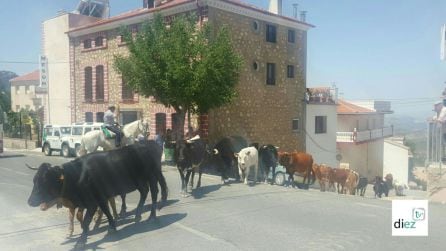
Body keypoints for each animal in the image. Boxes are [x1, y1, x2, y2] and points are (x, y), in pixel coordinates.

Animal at [27, 143, 167, 249]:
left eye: (45, 180)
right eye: (34, 180)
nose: (30, 201)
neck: (77, 176)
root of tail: (150, 144)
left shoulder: (92, 203)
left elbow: (87, 221)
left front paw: (81, 241)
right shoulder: (100, 198)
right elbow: (106, 211)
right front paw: (112, 227)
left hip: (152, 176)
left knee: (154, 193)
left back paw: (152, 216)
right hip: (140, 181)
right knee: (144, 192)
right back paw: (138, 215)